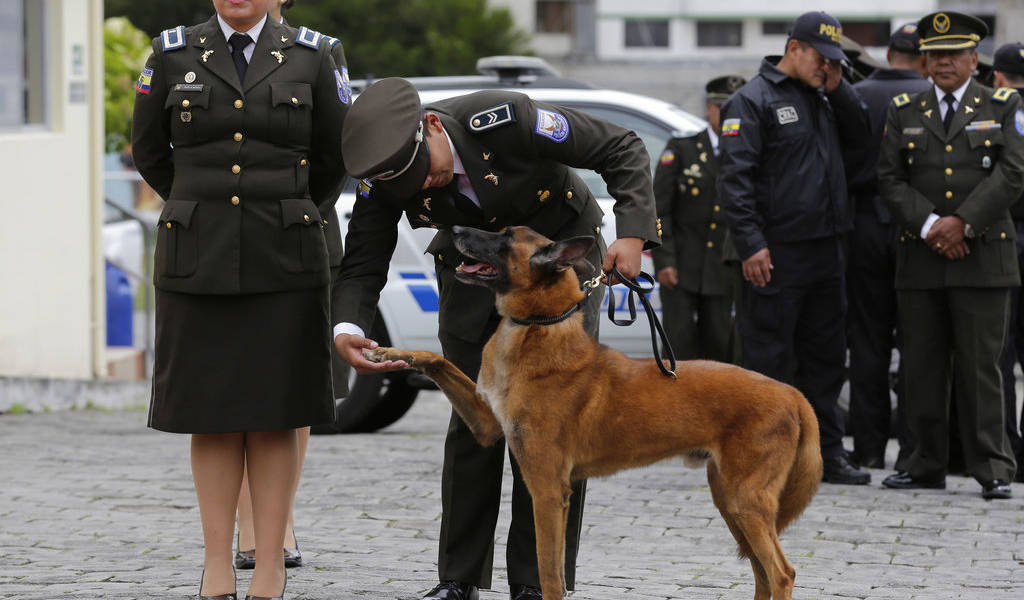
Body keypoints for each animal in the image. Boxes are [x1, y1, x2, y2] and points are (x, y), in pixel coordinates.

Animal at [368, 224, 823, 597]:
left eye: (504, 237)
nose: (454, 229)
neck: (537, 325)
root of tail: (793, 393)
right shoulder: (486, 425)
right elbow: (435, 359)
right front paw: (387, 352)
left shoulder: (548, 490)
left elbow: (549, 574)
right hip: (728, 499)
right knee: (762, 573)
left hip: (745, 500)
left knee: (781, 573)